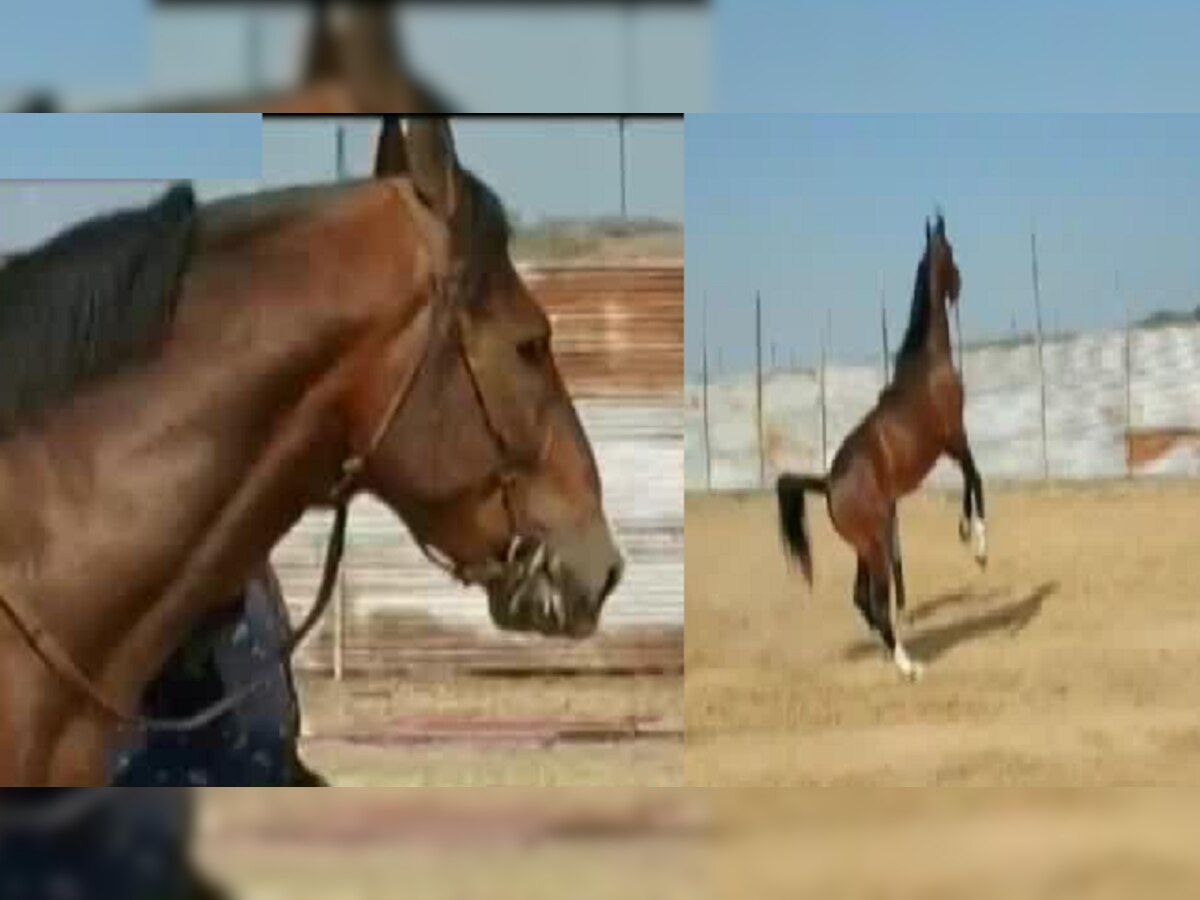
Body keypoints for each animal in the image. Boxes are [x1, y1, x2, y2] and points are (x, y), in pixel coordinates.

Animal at [777, 214, 984, 681]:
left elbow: (970, 481)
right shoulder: (954, 438)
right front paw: (977, 543)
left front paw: (968, 534)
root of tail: (827, 482)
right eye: (950, 251)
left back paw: (894, 653)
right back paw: (908, 666)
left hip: (864, 544)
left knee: (861, 598)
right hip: (873, 543)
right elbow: (975, 479)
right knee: (871, 599)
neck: (927, 361)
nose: (961, 284)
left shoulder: (952, 446)